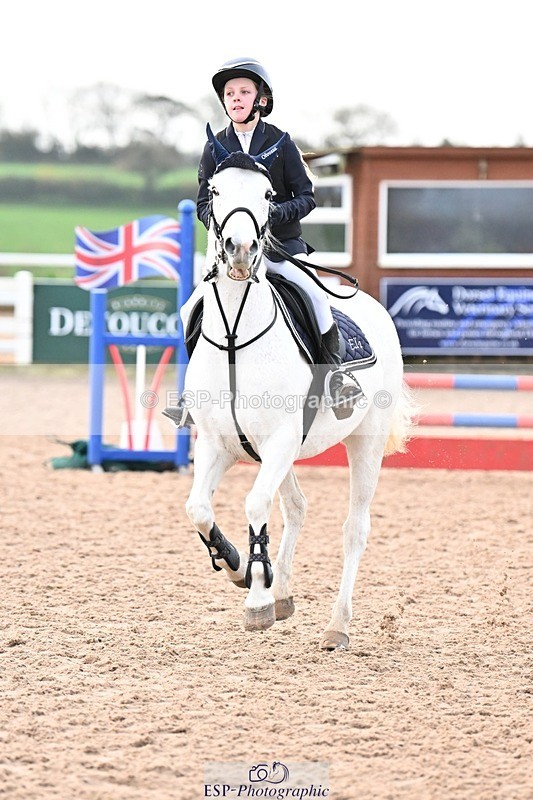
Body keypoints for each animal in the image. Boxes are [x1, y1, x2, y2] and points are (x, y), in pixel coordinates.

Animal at [178, 128, 415, 650]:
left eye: (269, 195)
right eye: (215, 191)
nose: (240, 251)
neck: (234, 334)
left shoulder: (280, 440)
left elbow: (254, 504)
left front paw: (256, 597)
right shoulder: (219, 444)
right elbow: (199, 507)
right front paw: (237, 566)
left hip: (362, 443)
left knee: (354, 528)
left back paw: (336, 626)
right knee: (297, 507)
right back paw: (282, 592)